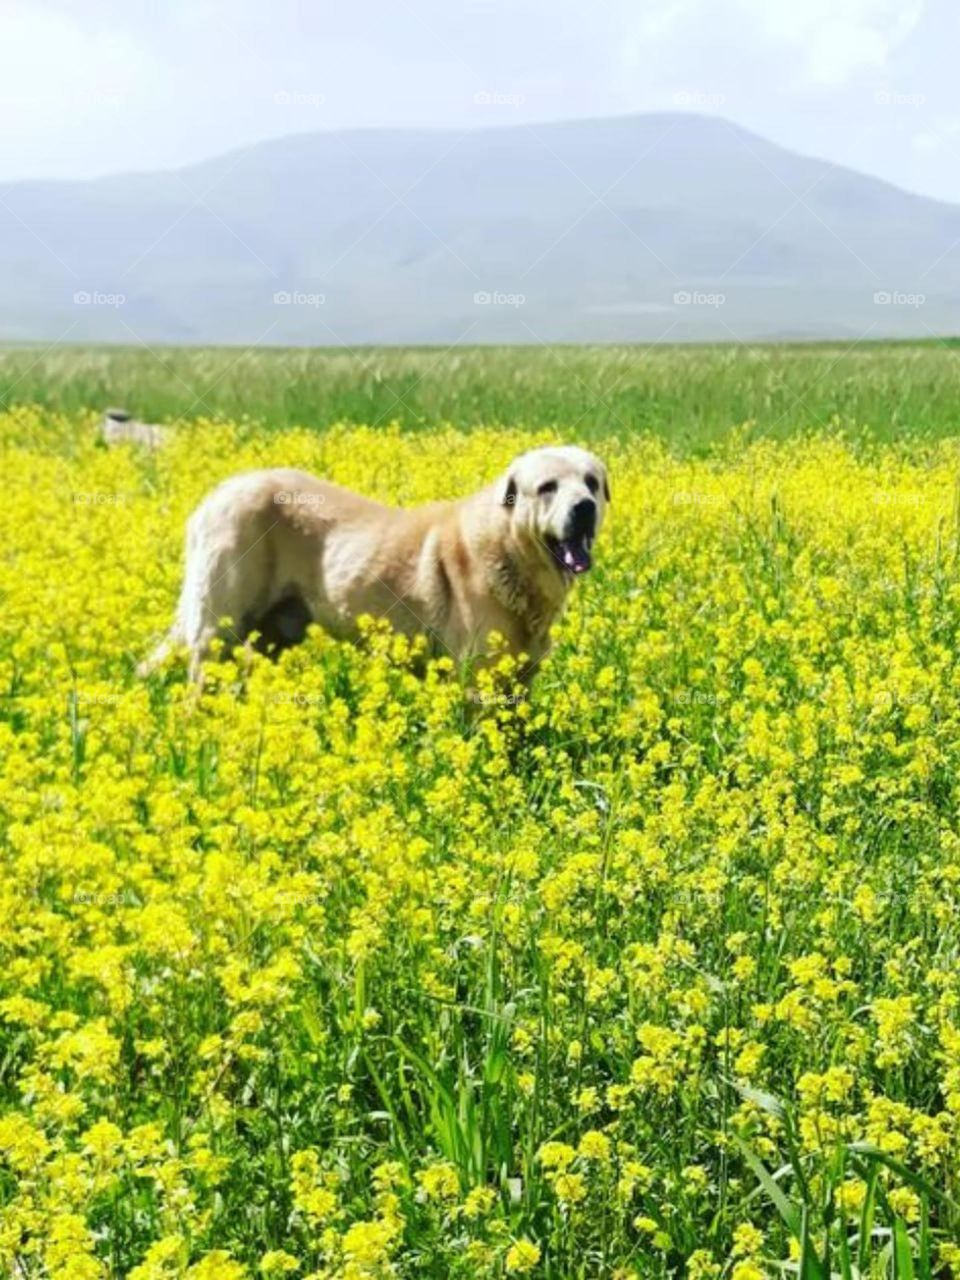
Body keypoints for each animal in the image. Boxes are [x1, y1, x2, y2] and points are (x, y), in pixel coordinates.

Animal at [140, 445, 611, 686]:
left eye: (591, 482)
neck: (513, 549)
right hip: (218, 631)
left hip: (268, 635)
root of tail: (218, 492)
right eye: (547, 487)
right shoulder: (477, 680)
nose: (584, 508)